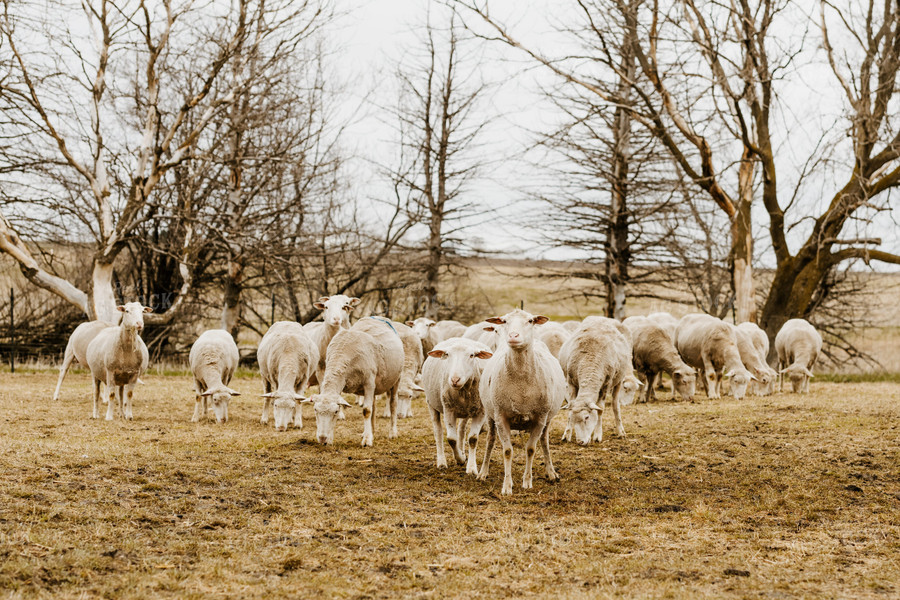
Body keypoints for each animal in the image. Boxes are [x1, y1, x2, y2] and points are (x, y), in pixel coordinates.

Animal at [312, 318, 406, 446]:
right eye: (315, 410)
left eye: (335, 411)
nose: (322, 438)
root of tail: (379, 318)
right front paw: (330, 439)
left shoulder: (369, 382)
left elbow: (366, 411)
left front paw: (366, 440)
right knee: (374, 406)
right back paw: (372, 431)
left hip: (396, 379)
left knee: (393, 404)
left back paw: (392, 433)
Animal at [422, 338, 492, 474]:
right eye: (447, 354)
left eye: (472, 355)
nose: (455, 380)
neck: (463, 390)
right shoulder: (448, 409)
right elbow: (451, 439)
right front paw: (459, 459)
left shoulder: (481, 412)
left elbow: (472, 439)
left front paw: (471, 468)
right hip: (431, 404)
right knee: (438, 432)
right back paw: (442, 462)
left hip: (468, 409)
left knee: (461, 429)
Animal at [478, 310, 564, 496]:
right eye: (504, 321)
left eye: (530, 321)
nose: (513, 336)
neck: (521, 385)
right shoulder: (501, 416)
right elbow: (507, 451)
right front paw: (507, 486)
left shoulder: (540, 417)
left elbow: (531, 449)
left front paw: (527, 482)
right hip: (490, 414)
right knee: (490, 440)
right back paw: (483, 472)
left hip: (548, 418)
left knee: (544, 441)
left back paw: (551, 472)